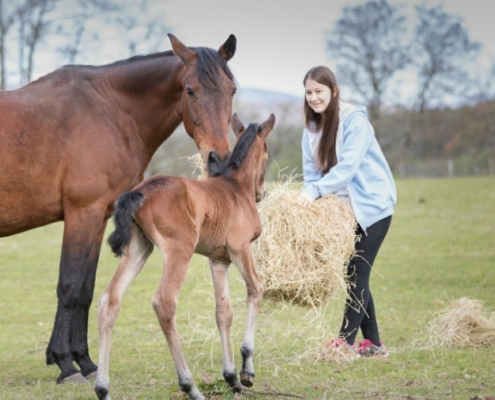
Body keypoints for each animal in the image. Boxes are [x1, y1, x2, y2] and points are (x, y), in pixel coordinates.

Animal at [0, 33, 238, 382]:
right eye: (190, 90)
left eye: (232, 89)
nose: (218, 159)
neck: (109, 109)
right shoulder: (82, 213)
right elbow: (69, 285)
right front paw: (65, 364)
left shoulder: (100, 216)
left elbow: (85, 290)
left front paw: (85, 362)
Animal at [94, 112, 276, 400]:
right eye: (267, 153)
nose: (262, 193)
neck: (235, 187)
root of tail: (139, 191)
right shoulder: (240, 248)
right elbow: (256, 289)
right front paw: (246, 371)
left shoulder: (218, 260)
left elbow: (223, 312)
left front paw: (231, 378)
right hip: (180, 248)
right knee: (164, 303)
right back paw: (190, 386)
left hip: (138, 249)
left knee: (109, 300)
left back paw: (103, 389)